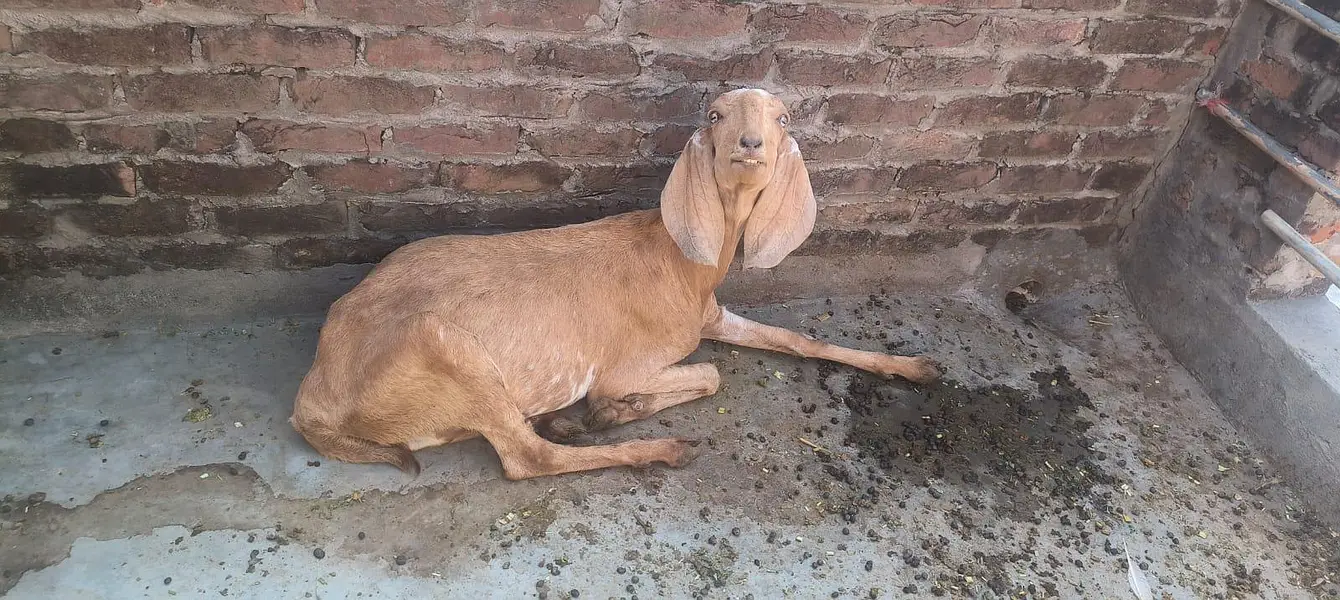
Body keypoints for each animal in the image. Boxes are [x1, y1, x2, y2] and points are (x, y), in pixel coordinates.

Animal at [290, 88, 941, 479]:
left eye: (782, 117)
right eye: (714, 115)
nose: (750, 146)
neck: (681, 263)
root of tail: (313, 402)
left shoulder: (712, 316)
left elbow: (798, 340)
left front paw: (914, 367)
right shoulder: (630, 363)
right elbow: (709, 374)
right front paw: (609, 411)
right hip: (446, 351)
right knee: (527, 458)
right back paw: (654, 447)